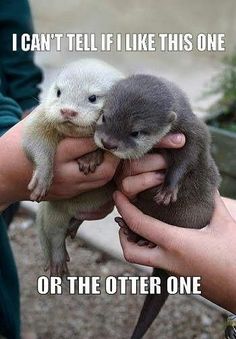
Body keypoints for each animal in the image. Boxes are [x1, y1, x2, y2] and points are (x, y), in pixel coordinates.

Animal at [22, 57, 123, 276]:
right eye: (59, 92)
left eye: (93, 97)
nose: (67, 110)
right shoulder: (41, 117)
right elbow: (33, 139)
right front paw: (42, 177)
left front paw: (90, 158)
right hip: (55, 209)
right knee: (55, 234)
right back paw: (59, 259)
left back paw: (74, 226)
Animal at [94, 74, 221, 339]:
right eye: (104, 117)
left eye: (136, 132)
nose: (109, 143)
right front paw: (93, 156)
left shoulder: (193, 130)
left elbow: (188, 157)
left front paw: (168, 189)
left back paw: (142, 238)